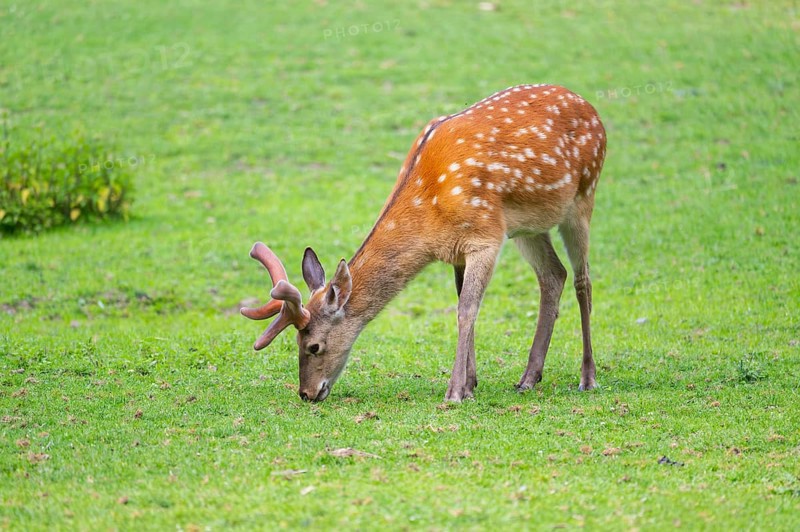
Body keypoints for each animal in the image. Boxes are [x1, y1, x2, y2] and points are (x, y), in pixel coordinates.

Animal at [242, 84, 606, 403]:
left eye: (313, 345)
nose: (306, 393)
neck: (430, 216)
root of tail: (591, 108)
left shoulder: (485, 237)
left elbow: (466, 310)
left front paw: (455, 391)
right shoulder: (458, 250)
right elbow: (464, 305)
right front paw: (471, 383)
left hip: (583, 197)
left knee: (583, 280)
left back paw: (587, 377)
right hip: (530, 227)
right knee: (553, 275)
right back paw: (529, 377)